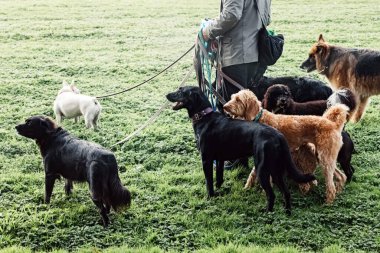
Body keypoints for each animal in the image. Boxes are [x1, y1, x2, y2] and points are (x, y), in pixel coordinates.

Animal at [166, 86, 314, 214]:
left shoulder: (206, 160)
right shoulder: (219, 159)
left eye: (181, 91)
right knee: (286, 193)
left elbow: (209, 182)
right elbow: (219, 178)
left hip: (262, 169)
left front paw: (210, 197)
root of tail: (278, 135)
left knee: (271, 195)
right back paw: (287, 213)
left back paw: (267, 214)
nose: (167, 95)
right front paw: (219, 191)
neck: (204, 117)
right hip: (276, 170)